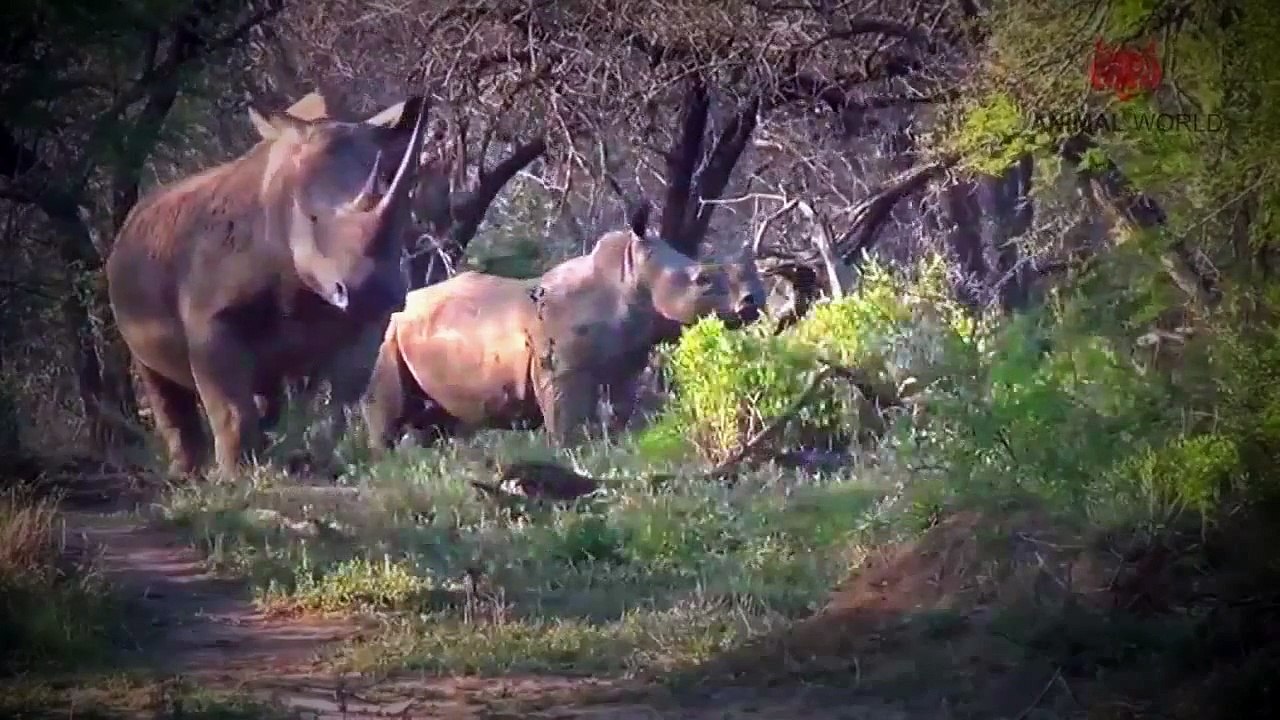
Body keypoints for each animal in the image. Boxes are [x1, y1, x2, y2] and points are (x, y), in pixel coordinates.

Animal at [106, 92, 431, 477]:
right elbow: (229, 404)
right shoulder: (210, 317)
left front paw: (320, 463)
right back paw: (187, 475)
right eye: (312, 219)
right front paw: (233, 477)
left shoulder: (364, 323)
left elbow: (343, 397)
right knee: (159, 379)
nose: (372, 294)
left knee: (266, 386)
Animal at [360, 203, 766, 450]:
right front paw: (571, 454)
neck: (629, 280)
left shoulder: (626, 361)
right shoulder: (563, 369)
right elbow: (567, 424)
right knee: (387, 413)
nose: (754, 301)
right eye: (702, 281)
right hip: (385, 336)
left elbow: (621, 410)